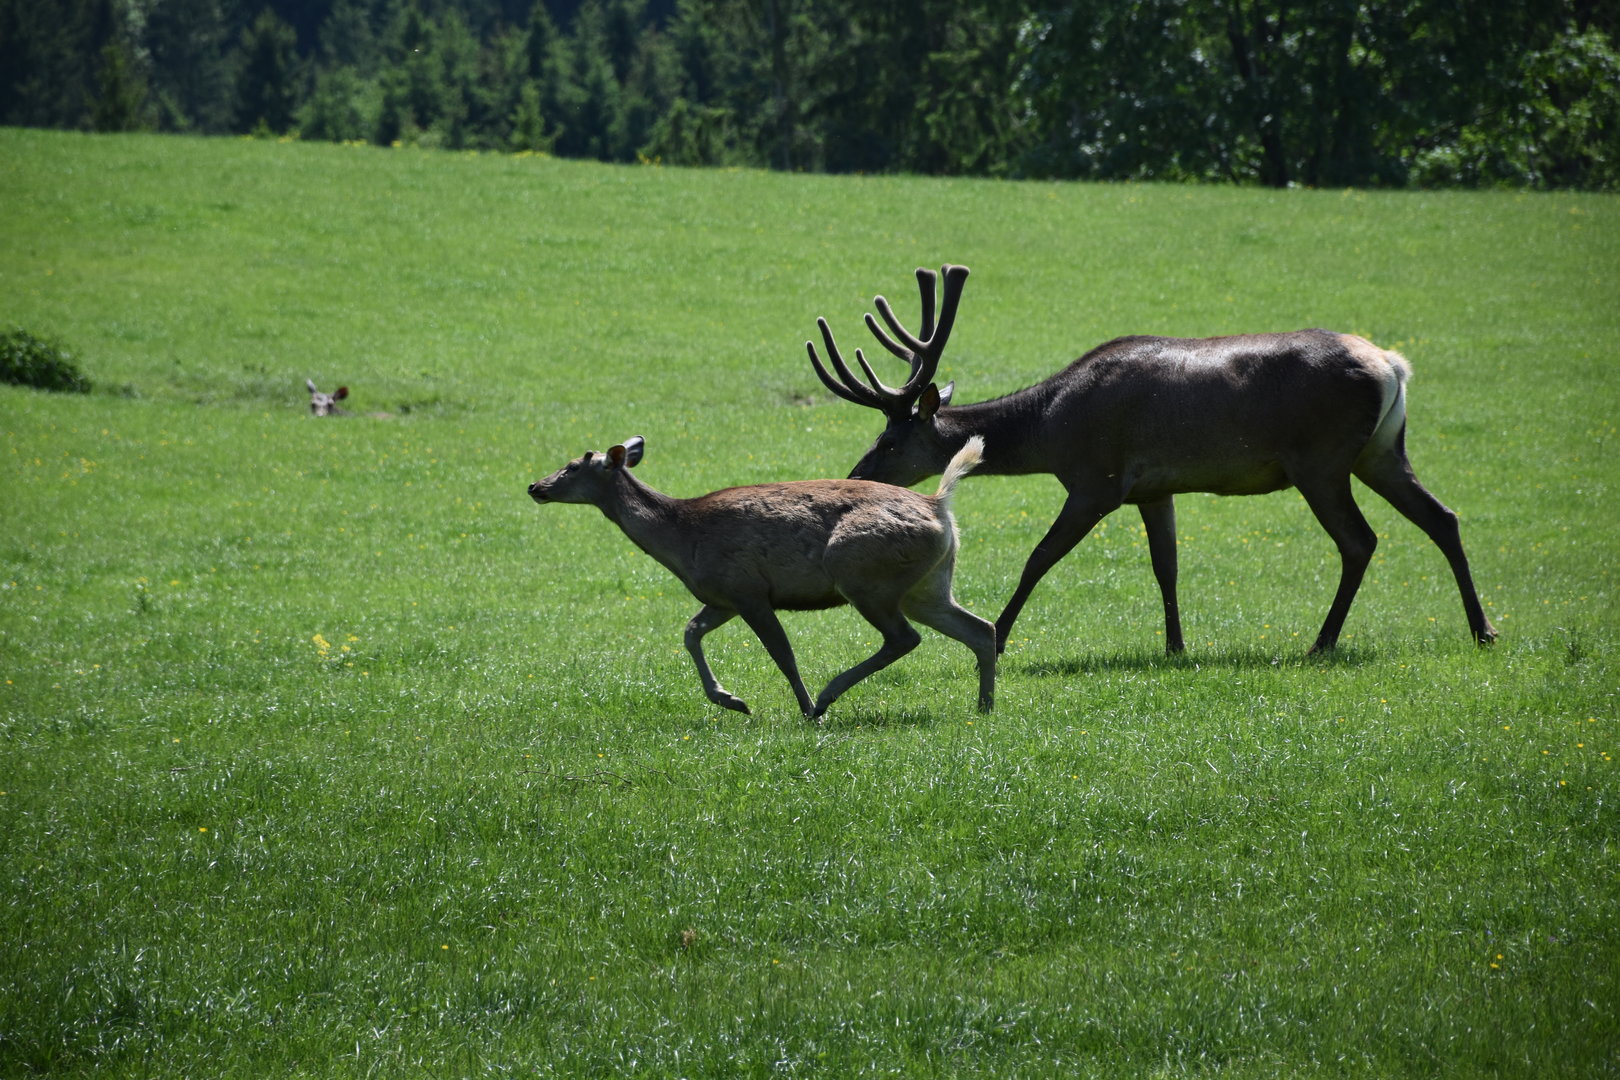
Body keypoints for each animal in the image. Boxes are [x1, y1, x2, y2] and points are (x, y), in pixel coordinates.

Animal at [526, 435, 997, 718]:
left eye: (572, 466)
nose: (535, 487)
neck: (682, 536)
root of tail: (939, 505)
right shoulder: (722, 597)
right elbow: (690, 632)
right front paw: (730, 699)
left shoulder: (747, 589)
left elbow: (782, 654)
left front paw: (799, 707)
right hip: (927, 586)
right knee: (980, 628)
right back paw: (985, 707)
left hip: (864, 574)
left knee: (904, 638)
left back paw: (824, 699)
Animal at [806, 264, 1497, 658]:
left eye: (890, 442)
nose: (856, 477)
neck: (1051, 427)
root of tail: (1392, 365)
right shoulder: (1154, 489)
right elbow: (1167, 566)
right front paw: (1174, 645)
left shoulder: (1097, 479)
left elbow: (1039, 558)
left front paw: (998, 637)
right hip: (1381, 451)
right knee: (1443, 517)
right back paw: (1482, 630)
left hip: (1321, 460)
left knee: (1360, 540)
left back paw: (1322, 642)